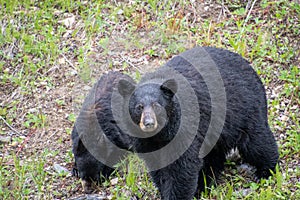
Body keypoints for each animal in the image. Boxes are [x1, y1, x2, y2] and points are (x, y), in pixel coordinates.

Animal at [117, 46, 278, 198]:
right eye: (139, 107)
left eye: (157, 106)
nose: (149, 123)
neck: (159, 136)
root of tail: (248, 66)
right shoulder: (145, 142)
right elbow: (158, 166)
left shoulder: (184, 130)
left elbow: (183, 168)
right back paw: (205, 183)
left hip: (243, 109)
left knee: (256, 142)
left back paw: (265, 171)